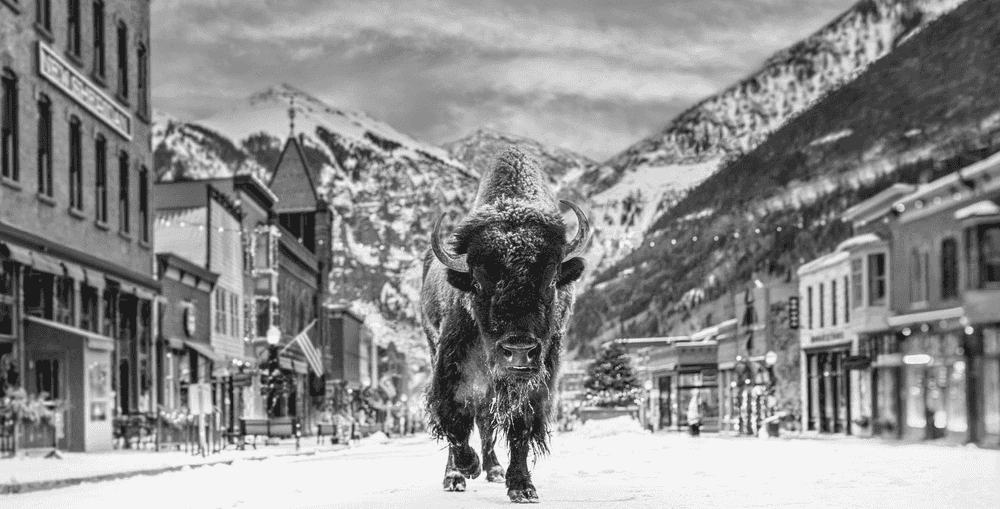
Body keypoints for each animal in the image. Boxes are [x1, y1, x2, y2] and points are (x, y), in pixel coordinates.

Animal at [421, 148, 590, 503]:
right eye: (477, 283)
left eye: (552, 280)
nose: (519, 351)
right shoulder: (450, 367)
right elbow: (453, 418)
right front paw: (465, 468)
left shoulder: (537, 380)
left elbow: (520, 428)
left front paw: (522, 487)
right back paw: (458, 475)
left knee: (486, 420)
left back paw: (495, 470)